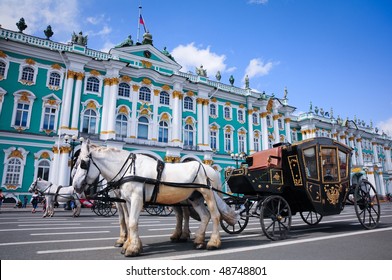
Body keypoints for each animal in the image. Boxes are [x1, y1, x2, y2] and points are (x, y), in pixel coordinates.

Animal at [72, 139, 240, 258]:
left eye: (83, 164)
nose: (75, 186)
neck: (129, 169)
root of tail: (211, 169)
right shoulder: (126, 200)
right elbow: (127, 220)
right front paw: (127, 244)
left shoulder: (136, 199)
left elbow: (132, 222)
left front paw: (132, 248)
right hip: (195, 197)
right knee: (203, 216)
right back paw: (197, 240)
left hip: (208, 194)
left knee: (215, 215)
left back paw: (213, 242)